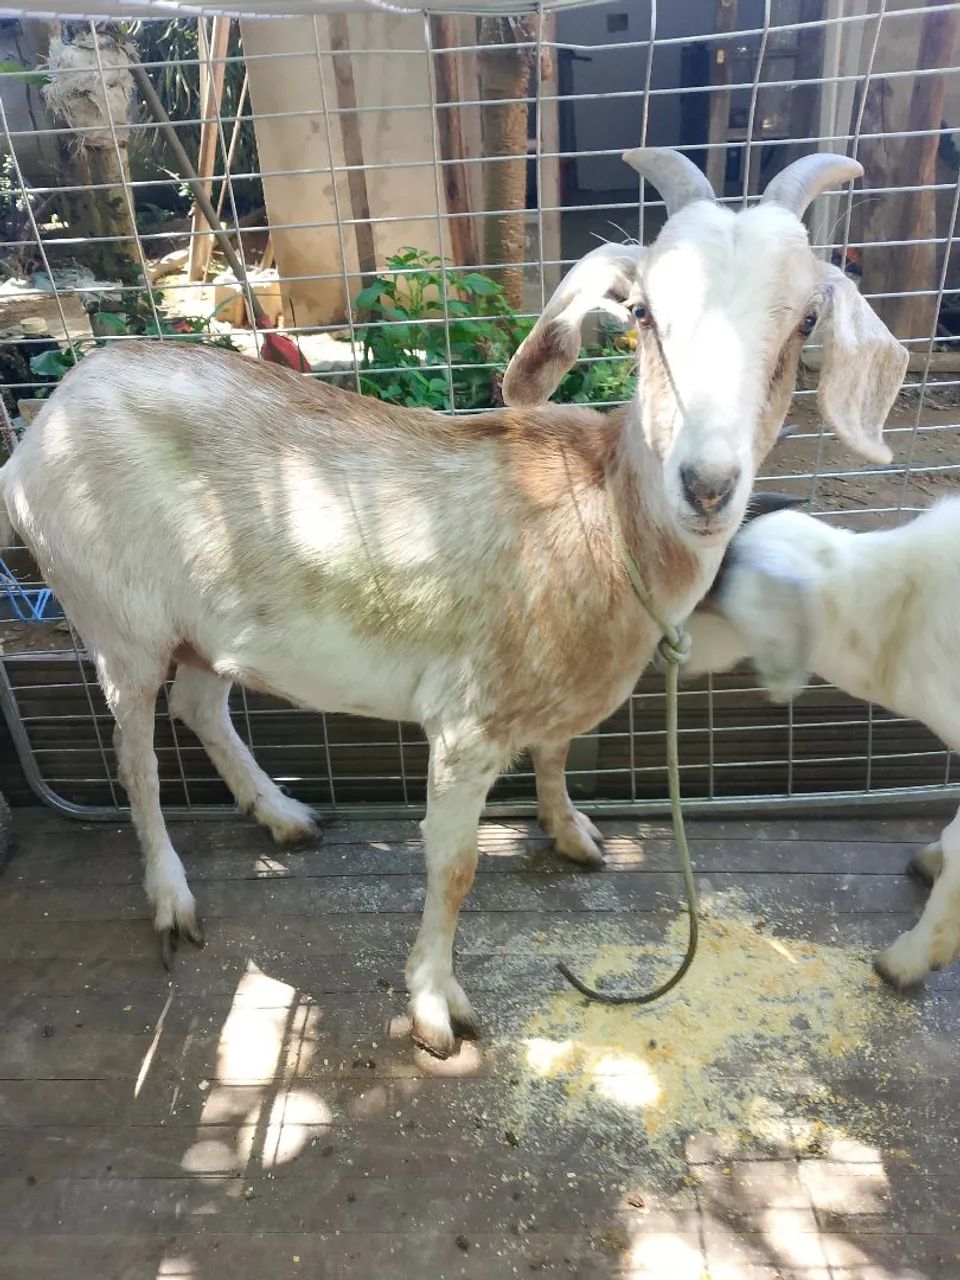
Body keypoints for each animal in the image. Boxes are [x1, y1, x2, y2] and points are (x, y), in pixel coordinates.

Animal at [0, 149, 906, 1056]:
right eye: (644, 312)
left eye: (806, 321)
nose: (708, 486)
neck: (602, 513)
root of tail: (48, 421)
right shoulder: (467, 724)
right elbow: (455, 865)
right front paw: (435, 1007)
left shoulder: (541, 702)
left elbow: (556, 755)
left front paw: (572, 834)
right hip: (120, 625)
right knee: (137, 762)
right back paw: (173, 900)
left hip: (211, 624)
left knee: (199, 704)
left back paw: (284, 815)